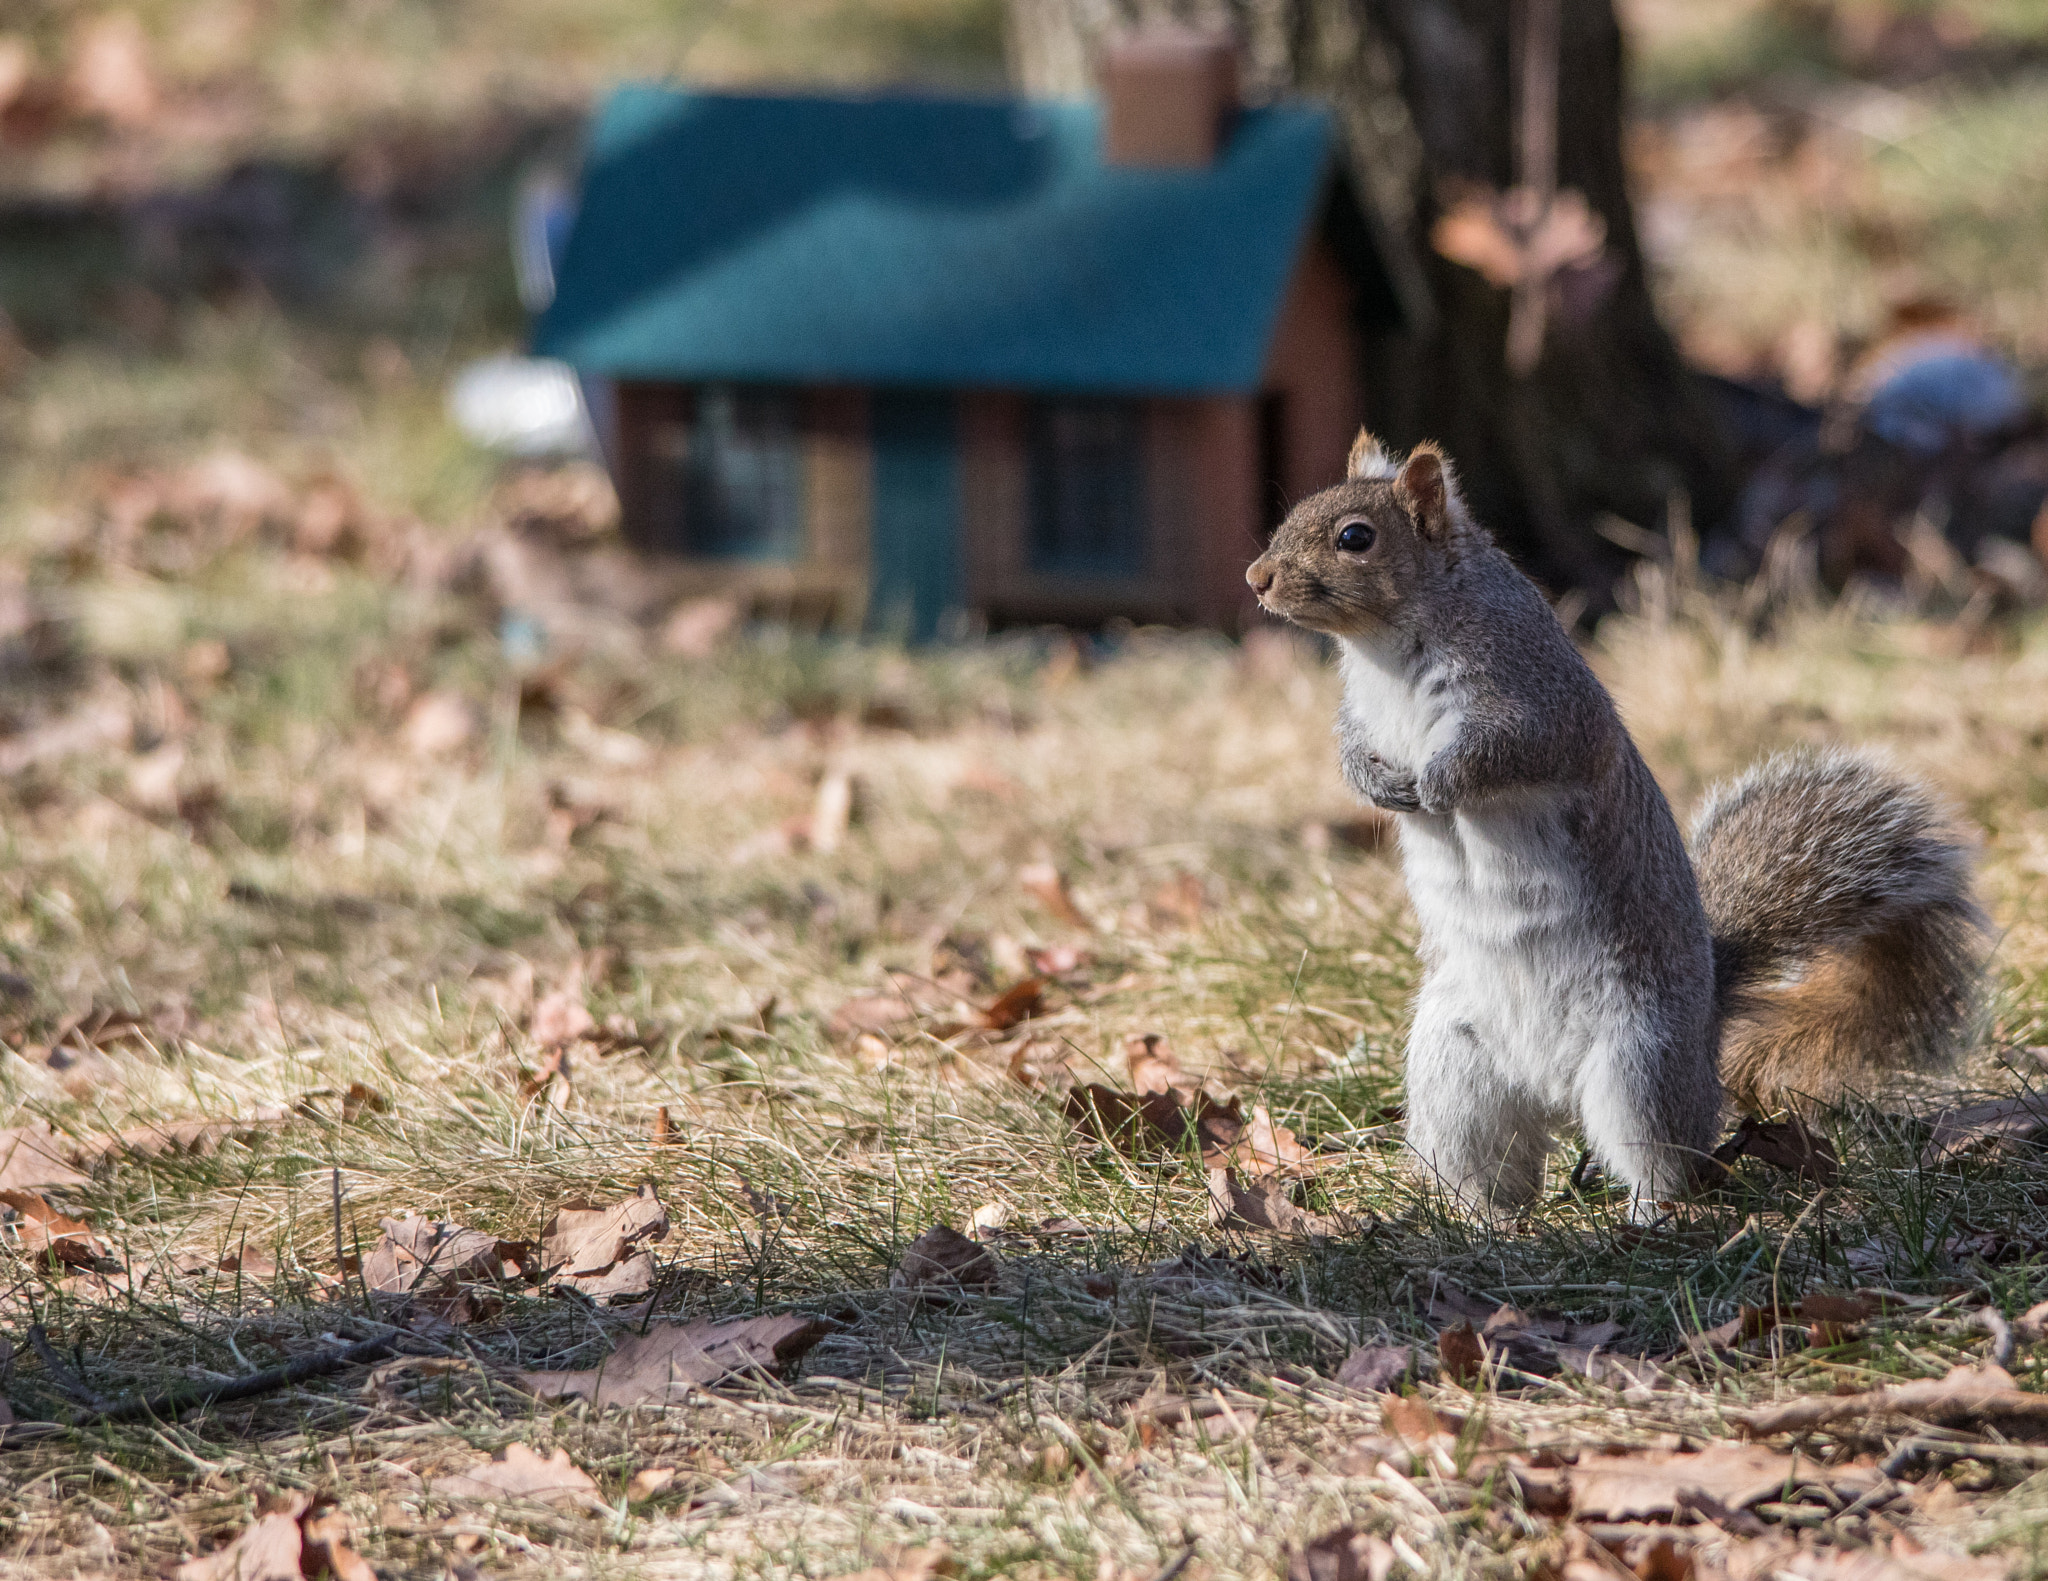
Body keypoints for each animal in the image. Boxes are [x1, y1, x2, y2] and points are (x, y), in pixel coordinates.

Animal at [1245, 430, 1982, 1212]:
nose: (1256, 578)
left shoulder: (1542, 703)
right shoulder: (1360, 712)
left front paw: (1439, 784)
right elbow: (1351, 749)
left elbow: (1509, 752)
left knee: (1663, 1156)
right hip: (1453, 1063)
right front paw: (1379, 783)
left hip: (1639, 1061)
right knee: (1490, 1159)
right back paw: (1479, 1218)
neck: (1385, 649)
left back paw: (1648, 1215)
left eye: (1355, 537)